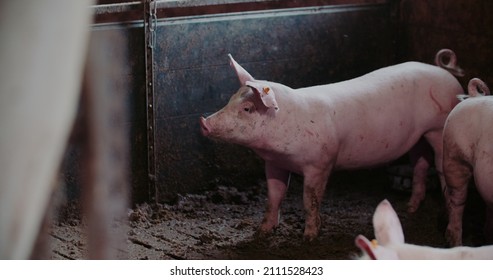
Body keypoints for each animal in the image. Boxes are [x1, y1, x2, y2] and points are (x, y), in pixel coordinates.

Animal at [198, 49, 464, 241]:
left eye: (247, 108)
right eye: (231, 100)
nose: (203, 122)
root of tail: (443, 71)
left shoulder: (320, 163)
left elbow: (310, 199)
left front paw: (309, 238)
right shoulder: (274, 163)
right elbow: (274, 196)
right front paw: (261, 232)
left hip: (438, 129)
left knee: (441, 169)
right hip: (418, 137)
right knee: (420, 164)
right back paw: (410, 208)